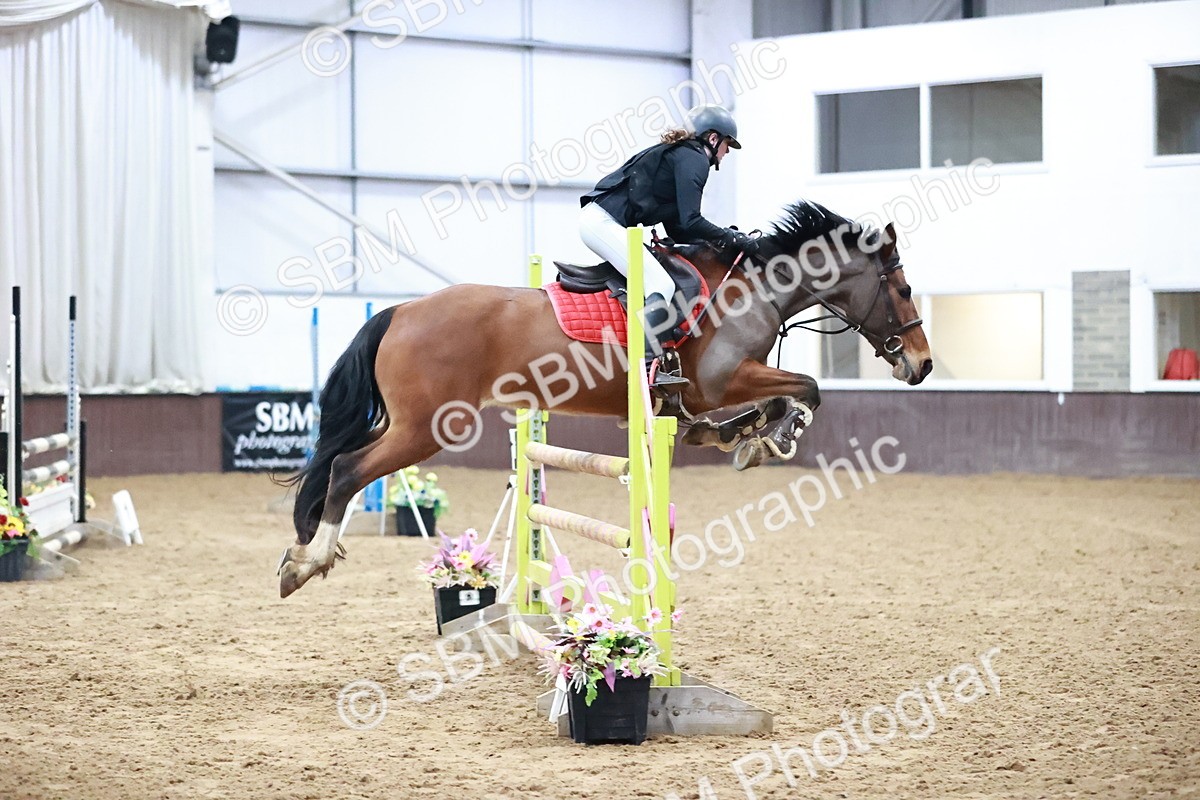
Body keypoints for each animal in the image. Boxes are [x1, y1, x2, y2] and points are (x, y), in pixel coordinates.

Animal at [277, 200, 932, 598]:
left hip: (412, 423)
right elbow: (806, 389)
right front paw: (773, 434)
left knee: (337, 463)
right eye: (901, 288)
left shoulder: (707, 394)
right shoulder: (722, 381)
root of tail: (401, 310)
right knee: (345, 468)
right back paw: (306, 563)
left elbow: (752, 409)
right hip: (428, 428)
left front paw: (742, 437)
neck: (753, 289)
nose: (922, 364)